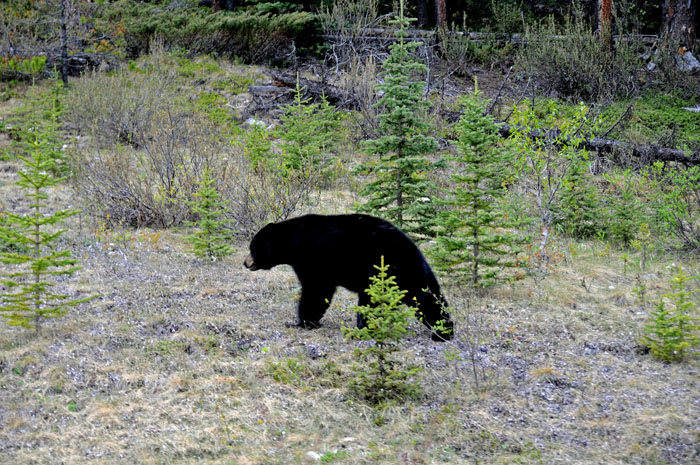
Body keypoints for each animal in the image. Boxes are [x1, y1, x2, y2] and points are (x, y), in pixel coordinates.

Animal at [245, 214, 454, 340]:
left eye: (252, 247)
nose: (245, 263)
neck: (293, 243)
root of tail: (412, 247)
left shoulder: (313, 259)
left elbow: (315, 291)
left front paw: (303, 322)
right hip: (408, 274)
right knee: (428, 295)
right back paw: (444, 330)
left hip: (381, 272)